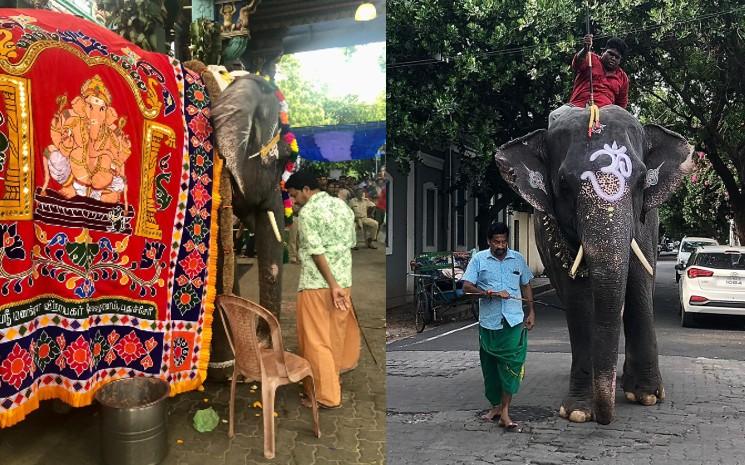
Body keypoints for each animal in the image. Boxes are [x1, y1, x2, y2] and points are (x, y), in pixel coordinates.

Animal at [494, 105, 692, 424]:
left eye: (641, 180)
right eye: (563, 183)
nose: (604, 418)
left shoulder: (647, 224)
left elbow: (638, 284)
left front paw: (647, 396)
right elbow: (577, 298)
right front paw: (577, 412)